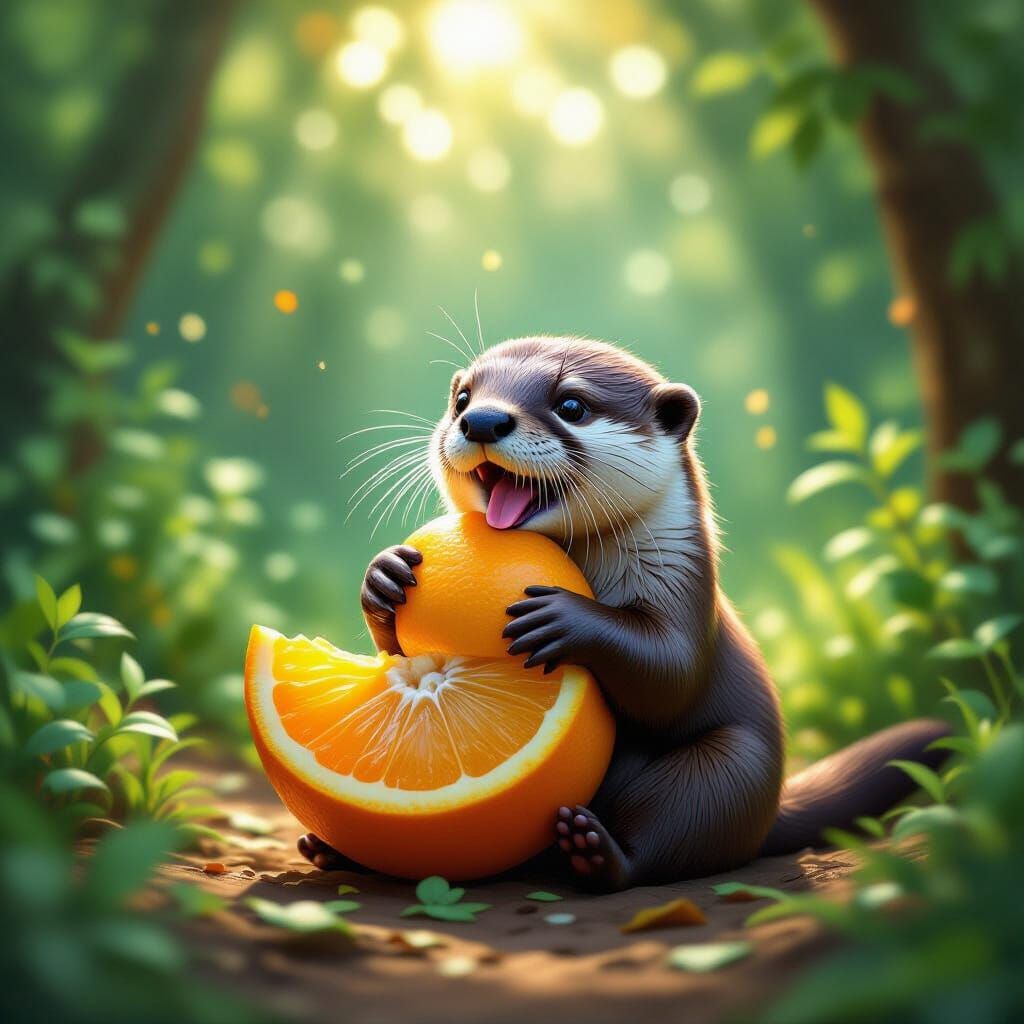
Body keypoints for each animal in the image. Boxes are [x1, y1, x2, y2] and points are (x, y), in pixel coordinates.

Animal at [299, 336, 948, 891]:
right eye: (462, 397)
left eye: (571, 404)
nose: (481, 420)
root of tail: (770, 815)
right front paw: (383, 575)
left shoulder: (683, 587)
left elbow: (670, 674)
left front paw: (566, 617)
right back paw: (334, 847)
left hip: (730, 769)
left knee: (675, 833)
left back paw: (596, 853)